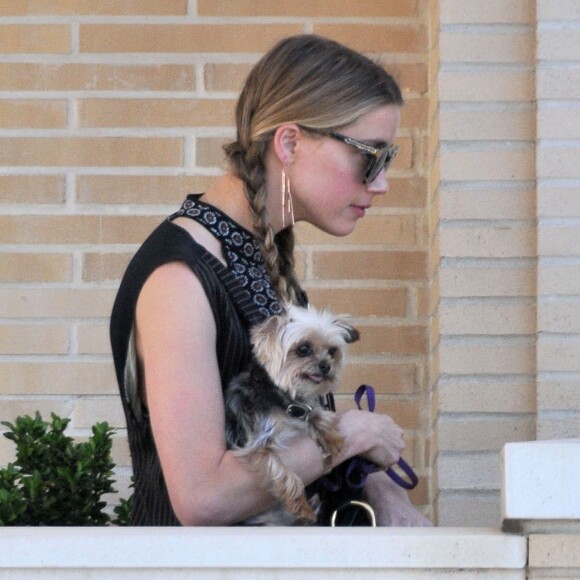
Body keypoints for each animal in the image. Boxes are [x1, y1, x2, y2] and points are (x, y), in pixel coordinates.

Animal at [225, 304, 358, 524]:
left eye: (332, 351)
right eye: (303, 349)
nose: (326, 365)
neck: (283, 400)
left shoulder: (303, 408)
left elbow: (316, 414)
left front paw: (332, 439)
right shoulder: (257, 446)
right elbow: (283, 473)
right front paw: (300, 505)